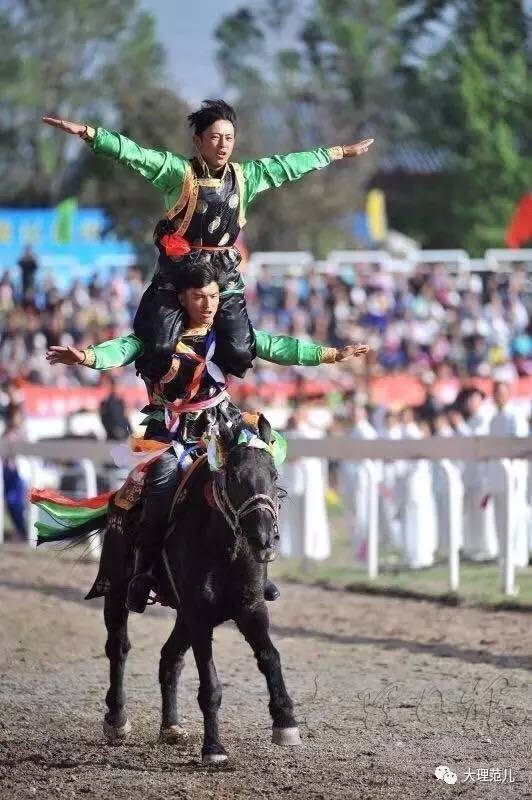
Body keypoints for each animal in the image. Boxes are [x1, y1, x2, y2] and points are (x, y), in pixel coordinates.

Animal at [100, 418, 300, 764]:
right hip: (115, 591)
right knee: (118, 647)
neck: (224, 545)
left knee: (170, 658)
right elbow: (210, 685)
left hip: (182, 615)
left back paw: (171, 726)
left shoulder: (249, 608)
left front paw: (285, 722)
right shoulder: (199, 616)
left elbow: (269, 657)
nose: (264, 539)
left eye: (274, 475)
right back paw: (117, 719)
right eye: (235, 478)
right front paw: (214, 749)